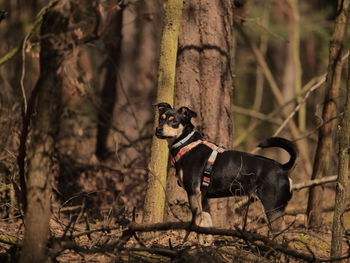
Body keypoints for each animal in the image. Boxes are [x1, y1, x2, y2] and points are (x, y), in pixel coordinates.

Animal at [154, 102, 296, 235]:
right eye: (160, 119)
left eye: (174, 121)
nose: (158, 129)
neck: (187, 145)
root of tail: (282, 167)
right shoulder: (202, 196)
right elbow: (206, 224)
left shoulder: (193, 192)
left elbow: (197, 222)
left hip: (272, 206)